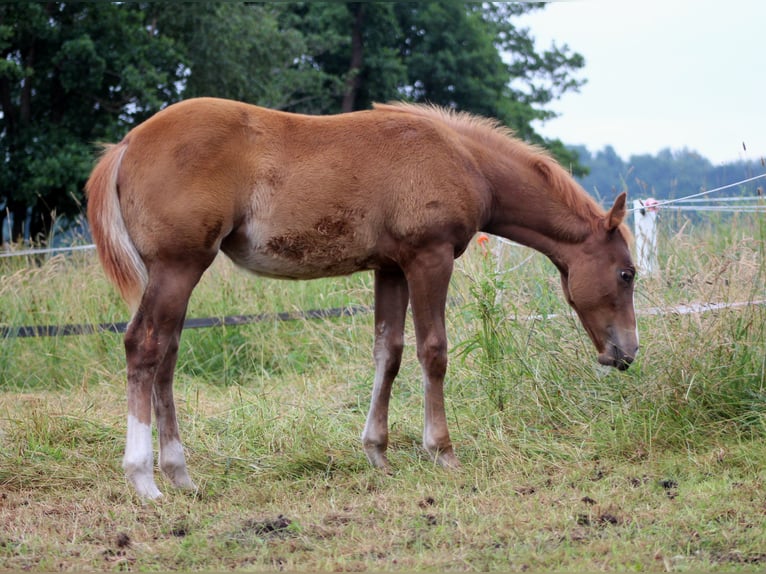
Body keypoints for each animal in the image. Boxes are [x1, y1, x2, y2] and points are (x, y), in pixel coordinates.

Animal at [86, 97, 638, 499]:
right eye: (627, 273)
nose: (626, 353)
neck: (463, 159)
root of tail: (127, 143)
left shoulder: (391, 268)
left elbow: (387, 353)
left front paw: (378, 453)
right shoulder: (429, 257)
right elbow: (433, 351)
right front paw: (442, 451)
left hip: (176, 274)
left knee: (167, 354)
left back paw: (180, 475)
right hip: (177, 266)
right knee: (144, 346)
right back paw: (144, 480)